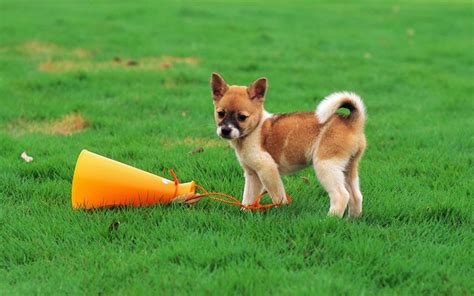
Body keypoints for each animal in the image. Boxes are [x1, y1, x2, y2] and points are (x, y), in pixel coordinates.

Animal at [211, 72, 366, 216]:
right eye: (220, 113)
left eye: (242, 117)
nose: (225, 130)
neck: (253, 130)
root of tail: (351, 122)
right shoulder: (252, 175)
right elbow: (248, 198)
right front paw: (245, 212)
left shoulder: (267, 169)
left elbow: (278, 196)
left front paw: (280, 211)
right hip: (348, 168)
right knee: (356, 196)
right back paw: (352, 219)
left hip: (326, 165)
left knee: (341, 195)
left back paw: (331, 218)